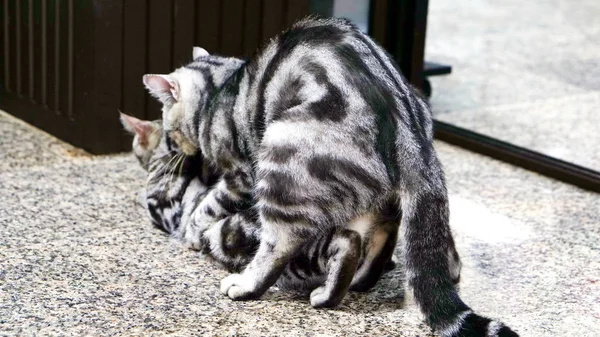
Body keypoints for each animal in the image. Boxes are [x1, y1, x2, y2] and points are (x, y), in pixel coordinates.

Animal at [139, 17, 516, 336]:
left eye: (169, 129)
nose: (176, 150)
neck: (220, 88)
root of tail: (407, 124)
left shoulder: (239, 177)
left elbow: (207, 205)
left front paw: (191, 231)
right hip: (371, 193)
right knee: (383, 233)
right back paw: (360, 279)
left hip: (282, 156)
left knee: (282, 245)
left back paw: (252, 286)